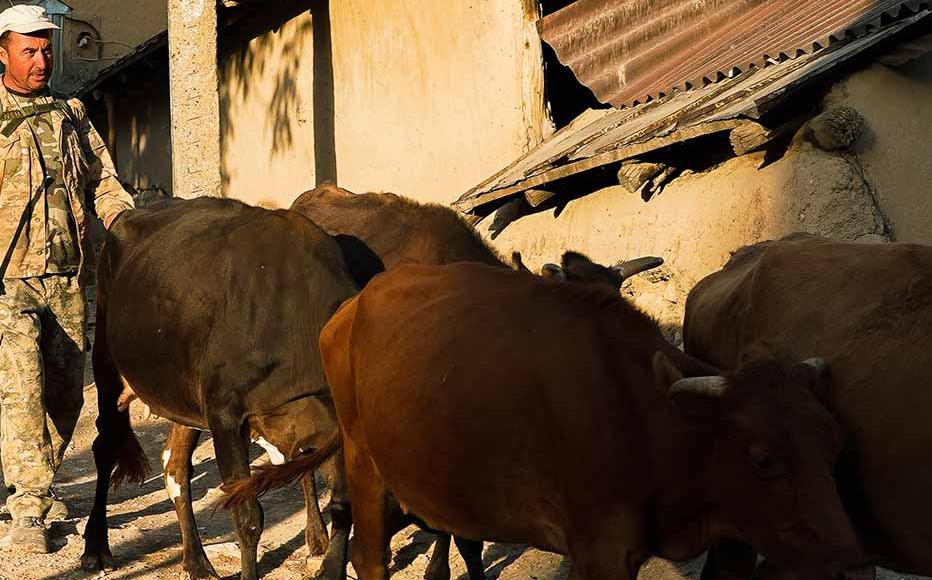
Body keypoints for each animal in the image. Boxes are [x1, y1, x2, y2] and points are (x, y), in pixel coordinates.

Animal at [229, 262, 864, 580]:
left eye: (835, 448)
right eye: (764, 459)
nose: (855, 565)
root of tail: (352, 306)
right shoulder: (601, 552)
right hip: (363, 462)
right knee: (368, 557)